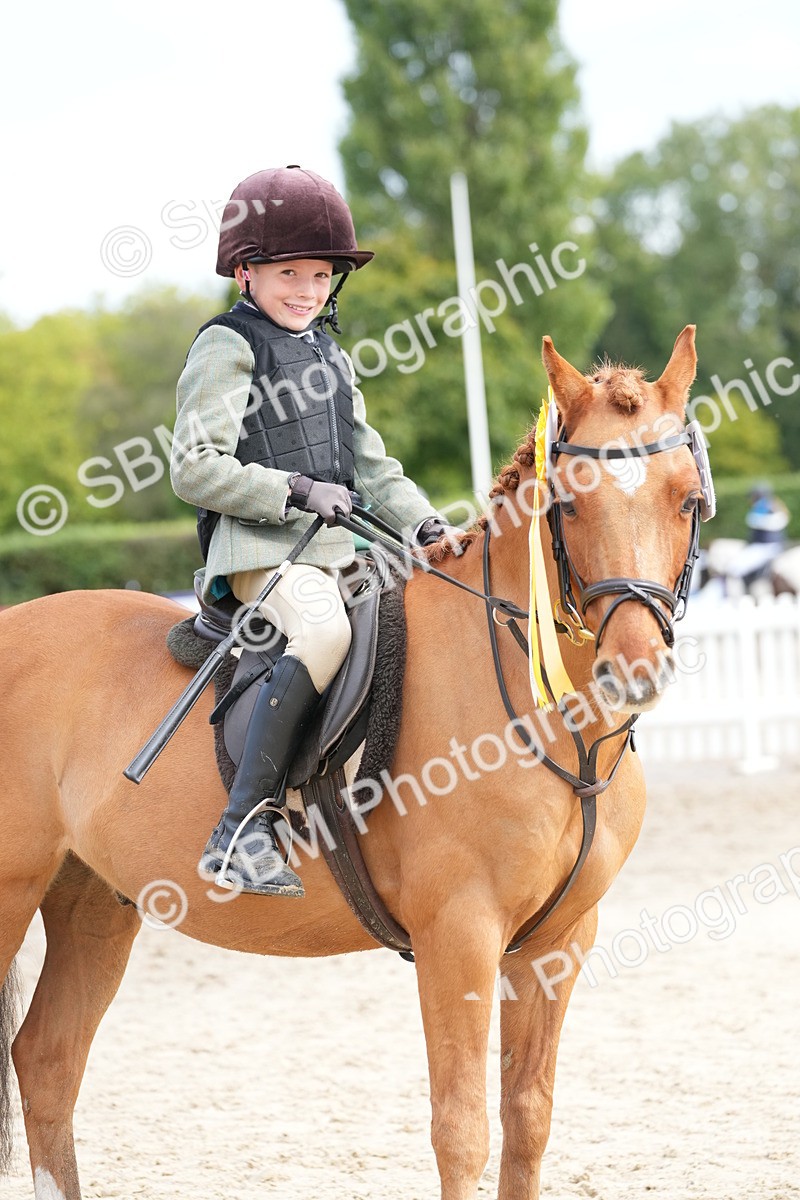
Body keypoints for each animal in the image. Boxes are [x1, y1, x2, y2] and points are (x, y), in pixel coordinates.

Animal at [0, 326, 706, 1200]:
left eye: (688, 500)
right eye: (569, 505)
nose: (634, 669)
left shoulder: (558, 942)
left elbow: (528, 1122)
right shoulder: (458, 934)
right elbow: (462, 1131)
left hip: (94, 899)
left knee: (48, 1060)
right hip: (14, 890)